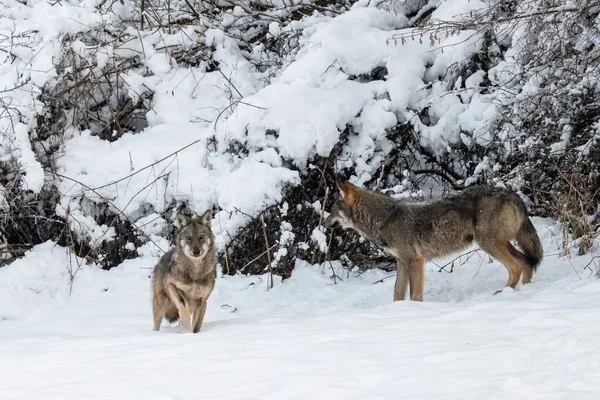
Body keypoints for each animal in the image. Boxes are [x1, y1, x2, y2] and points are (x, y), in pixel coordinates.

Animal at [326, 183, 540, 302]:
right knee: (527, 262)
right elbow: (397, 294)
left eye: (333, 209)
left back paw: (503, 293)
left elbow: (415, 295)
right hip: (500, 244)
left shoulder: (415, 261)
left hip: (489, 244)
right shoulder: (401, 262)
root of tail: (512, 193)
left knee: (516, 266)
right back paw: (525, 289)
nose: (324, 222)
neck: (386, 219)